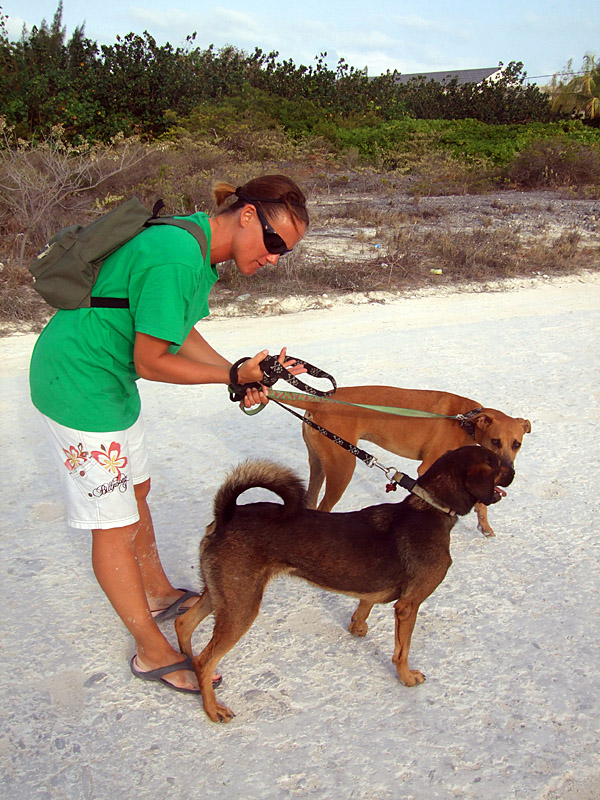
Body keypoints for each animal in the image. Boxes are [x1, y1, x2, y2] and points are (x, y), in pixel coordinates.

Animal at [176, 446, 512, 720]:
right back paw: (212, 708)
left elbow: (363, 606)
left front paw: (357, 628)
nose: (514, 472)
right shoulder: (408, 606)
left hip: (222, 595)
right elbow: (402, 651)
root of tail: (226, 515)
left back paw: (186, 663)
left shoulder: (376, 593)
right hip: (241, 606)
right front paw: (406, 678)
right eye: (498, 464)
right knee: (206, 660)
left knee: (183, 624)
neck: (430, 509)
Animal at [272, 384, 528, 536]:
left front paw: (484, 525)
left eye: (517, 444)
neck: (466, 421)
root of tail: (319, 401)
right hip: (343, 467)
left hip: (319, 463)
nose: (510, 473)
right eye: (495, 441)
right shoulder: (428, 465)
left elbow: (481, 500)